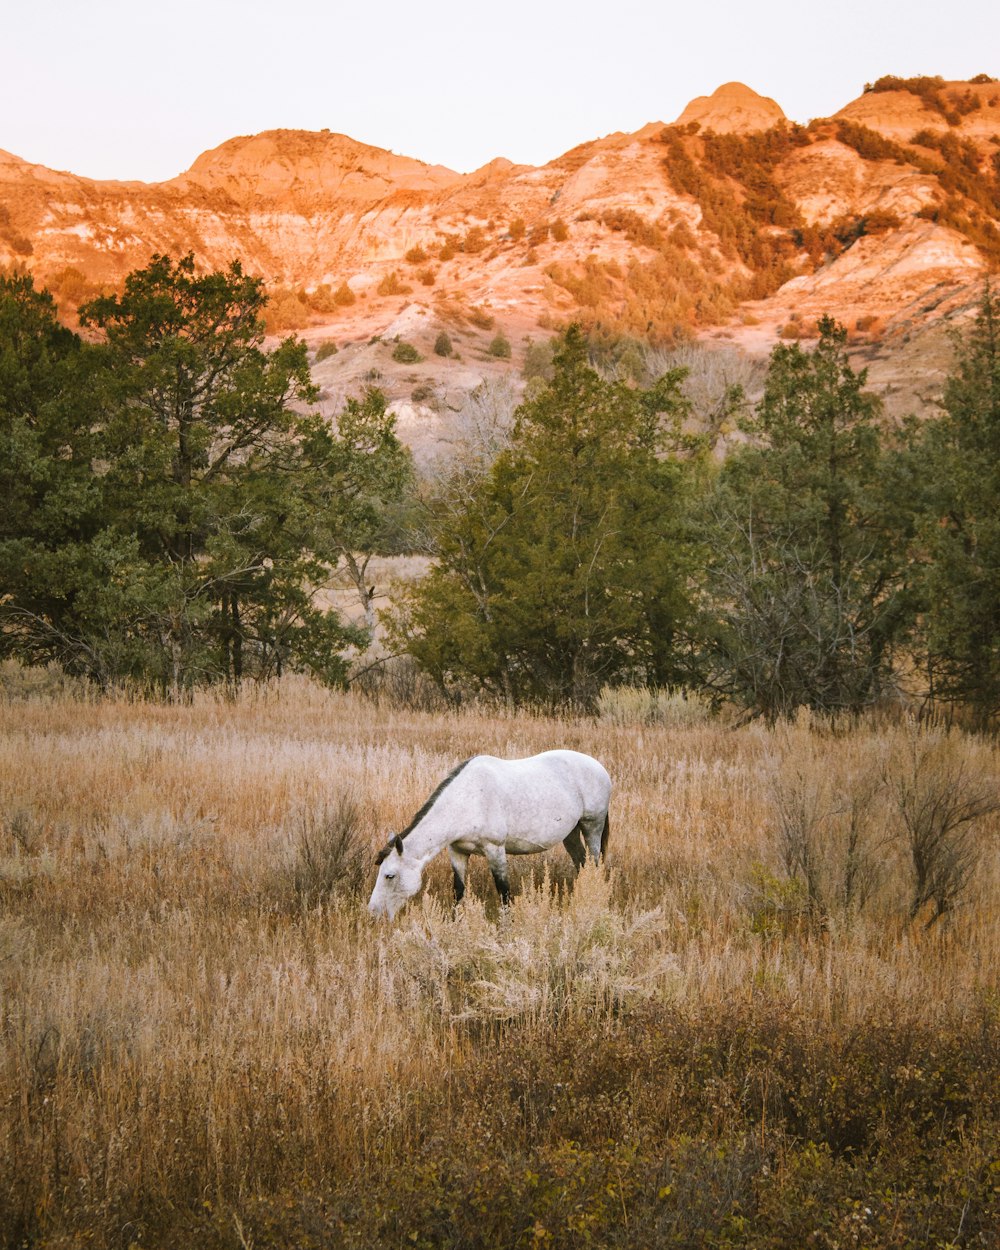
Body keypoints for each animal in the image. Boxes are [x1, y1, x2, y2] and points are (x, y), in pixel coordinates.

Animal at [367, 750, 610, 920]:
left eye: (389, 875)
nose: (373, 913)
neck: (469, 799)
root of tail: (600, 768)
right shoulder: (457, 851)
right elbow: (459, 891)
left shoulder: (495, 850)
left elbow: (504, 893)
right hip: (571, 833)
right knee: (581, 863)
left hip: (592, 827)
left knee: (595, 863)